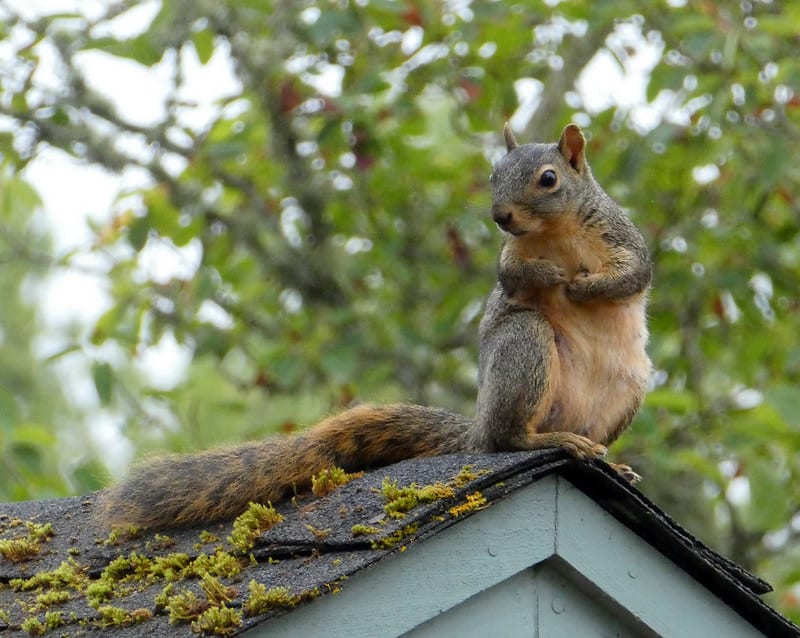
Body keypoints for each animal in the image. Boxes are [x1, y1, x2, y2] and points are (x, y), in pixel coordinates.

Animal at [98, 124, 648, 528]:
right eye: (493, 175)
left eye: (549, 179)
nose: (500, 215)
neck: (555, 234)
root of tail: (477, 425)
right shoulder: (510, 259)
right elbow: (514, 278)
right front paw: (553, 278)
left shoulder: (622, 238)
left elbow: (633, 275)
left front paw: (584, 287)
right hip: (525, 343)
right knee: (505, 439)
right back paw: (551, 442)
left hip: (626, 391)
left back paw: (607, 461)